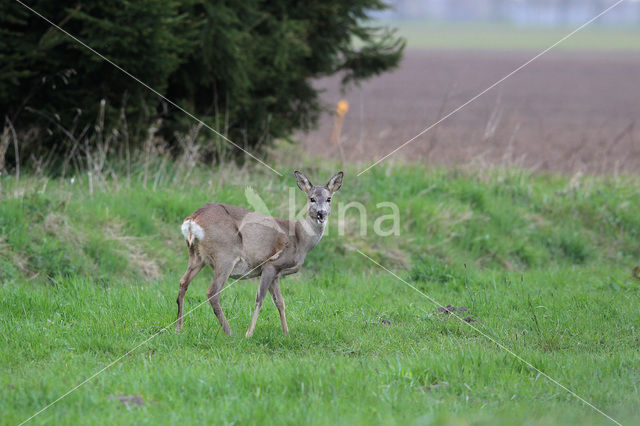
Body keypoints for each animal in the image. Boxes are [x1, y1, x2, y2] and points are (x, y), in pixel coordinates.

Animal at [175, 170, 344, 336]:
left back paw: (178, 328)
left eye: (329, 199)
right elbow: (260, 298)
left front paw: (286, 333)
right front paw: (249, 333)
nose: (321, 214)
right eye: (312, 199)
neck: (300, 239)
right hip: (225, 254)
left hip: (197, 256)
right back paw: (230, 332)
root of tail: (192, 219)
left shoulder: (276, 273)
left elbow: (280, 302)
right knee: (213, 292)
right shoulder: (270, 264)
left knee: (183, 282)